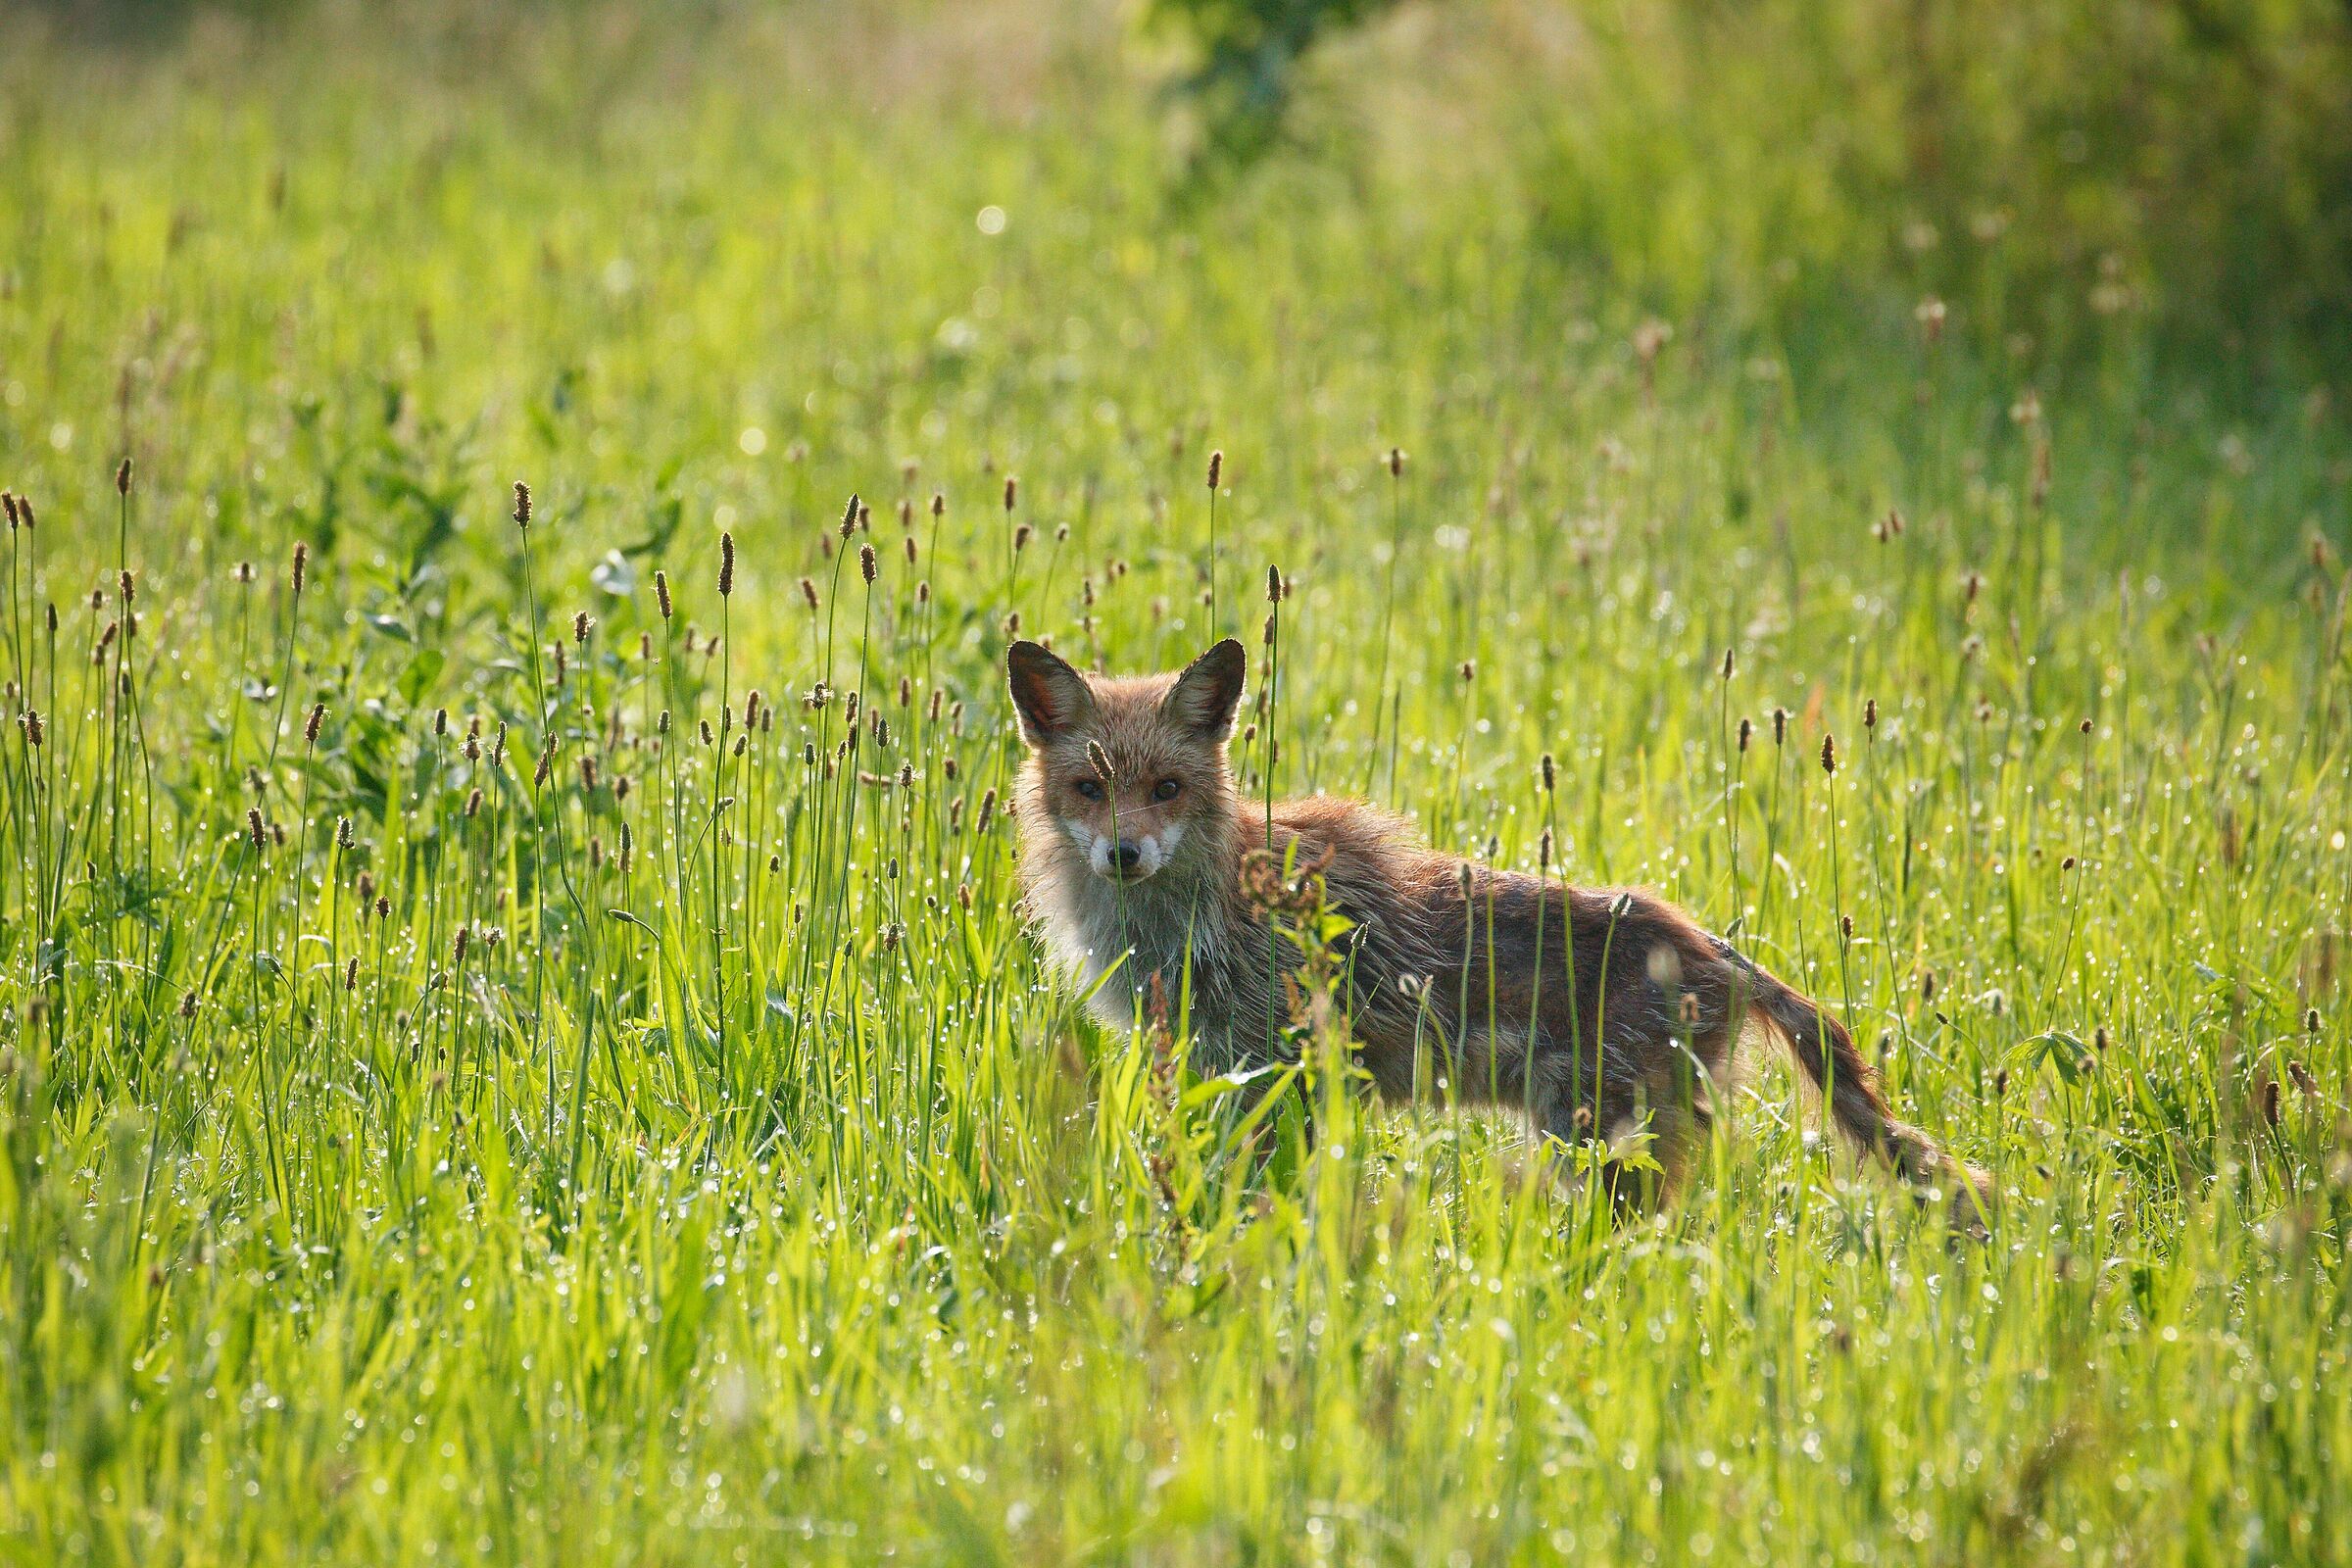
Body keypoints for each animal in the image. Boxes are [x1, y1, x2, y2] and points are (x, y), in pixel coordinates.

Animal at [1007, 635, 1991, 1227]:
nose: (1124, 854)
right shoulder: (1223, 1071)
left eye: (1166, 788)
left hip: (1594, 1139)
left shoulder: (1280, 1072)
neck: (1197, 926)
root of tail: (1715, 949)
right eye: (1089, 790)